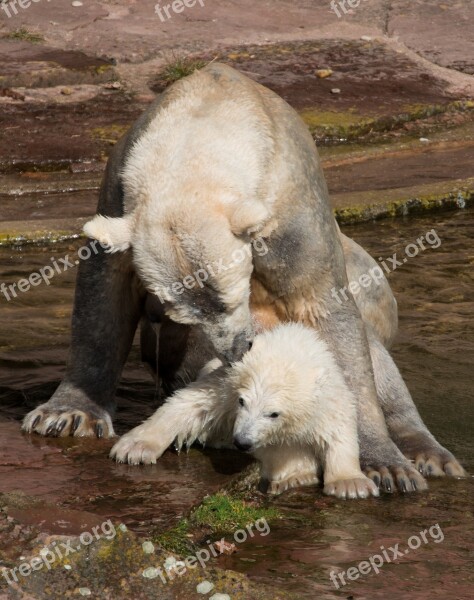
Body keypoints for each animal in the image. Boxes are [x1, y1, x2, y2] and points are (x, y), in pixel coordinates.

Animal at [24, 63, 464, 492]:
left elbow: (328, 314)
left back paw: (430, 454)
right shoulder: (118, 188)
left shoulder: (293, 213)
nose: (238, 349)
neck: (210, 112)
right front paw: (66, 415)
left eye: (232, 297)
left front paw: (385, 465)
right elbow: (104, 292)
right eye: (181, 315)